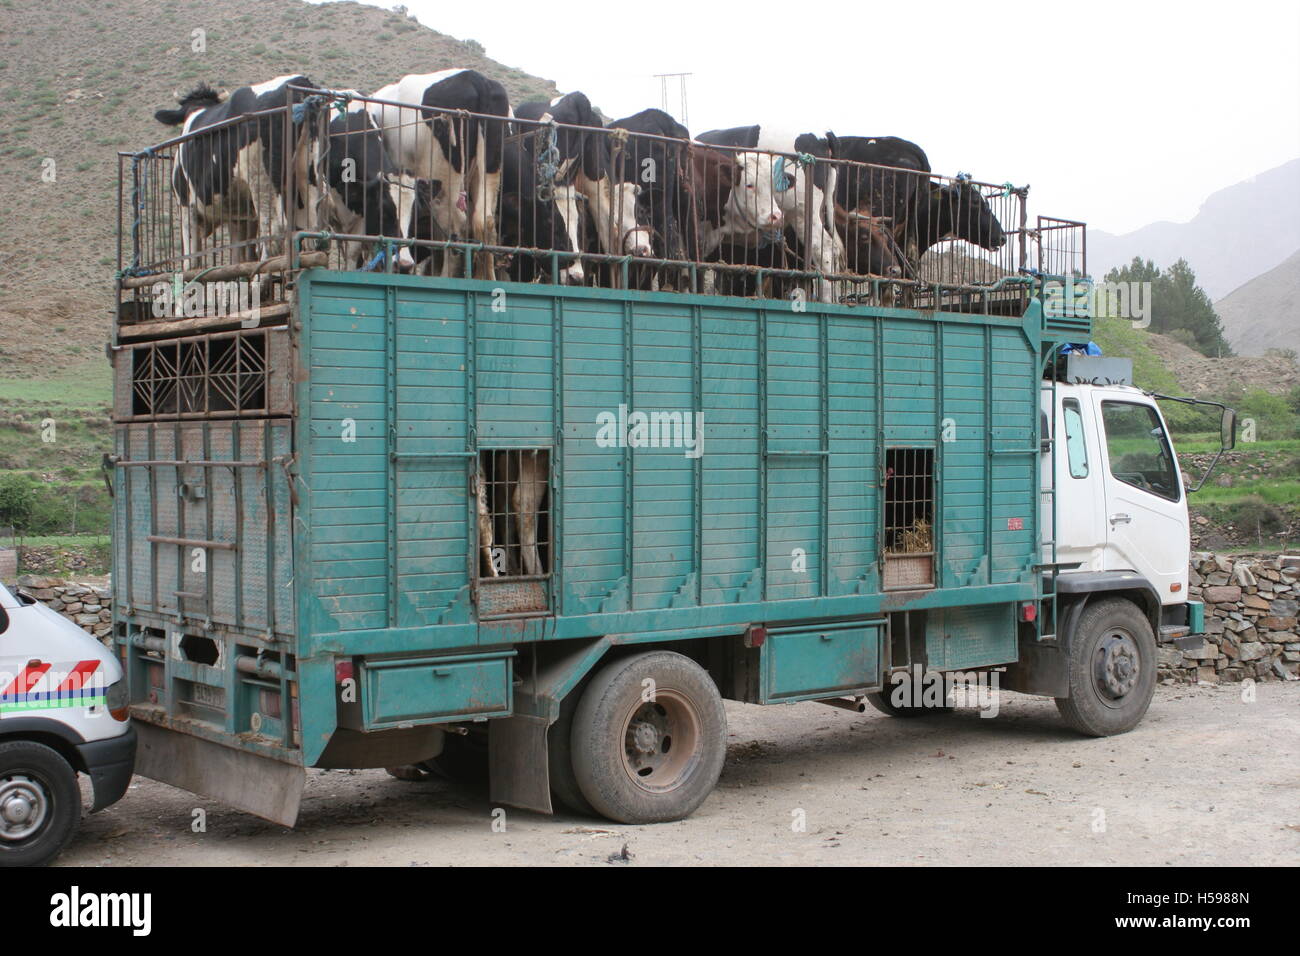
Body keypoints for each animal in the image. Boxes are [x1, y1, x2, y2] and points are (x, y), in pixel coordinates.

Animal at [155, 74, 325, 265]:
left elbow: (190, 257)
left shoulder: (185, 203)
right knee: (312, 229)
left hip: (262, 181)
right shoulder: (239, 216)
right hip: (308, 177)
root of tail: (300, 81)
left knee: (274, 228)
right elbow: (239, 253)